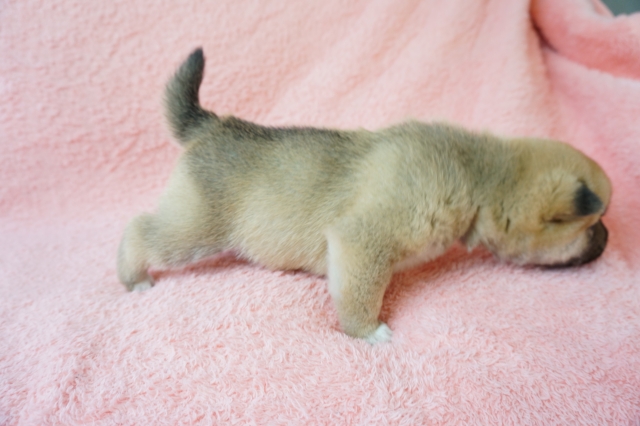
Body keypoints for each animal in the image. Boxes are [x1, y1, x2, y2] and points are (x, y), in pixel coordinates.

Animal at [118, 48, 611, 343]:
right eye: (596, 222)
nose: (609, 239)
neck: (479, 175)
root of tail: (211, 124)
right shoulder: (363, 241)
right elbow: (361, 294)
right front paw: (368, 332)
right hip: (196, 228)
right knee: (140, 229)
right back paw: (133, 277)